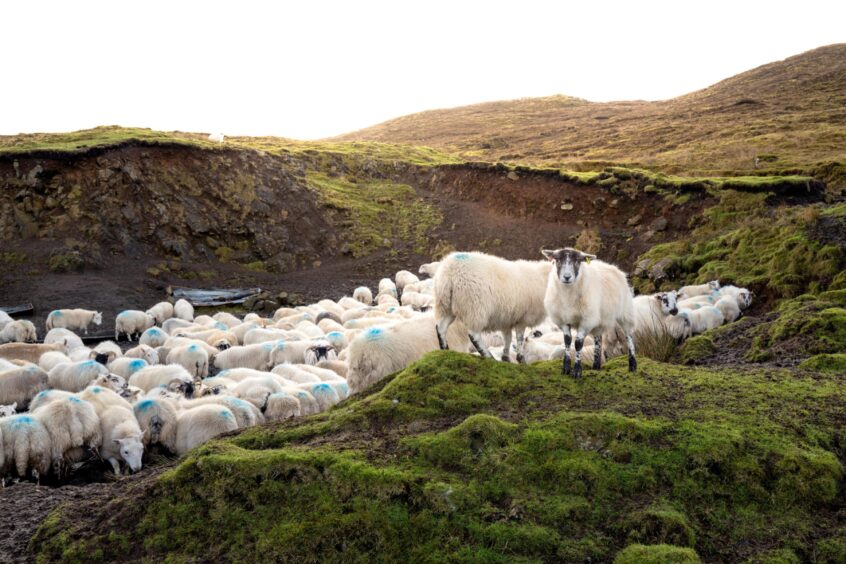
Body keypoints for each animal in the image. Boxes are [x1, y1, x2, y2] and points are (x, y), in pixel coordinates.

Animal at [544, 248, 636, 376]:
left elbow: (578, 344)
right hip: (599, 319)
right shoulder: (563, 320)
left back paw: (633, 365)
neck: (568, 296)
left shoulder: (586, 320)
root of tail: (615, 268)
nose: (567, 277)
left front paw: (577, 371)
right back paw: (596, 366)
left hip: (625, 312)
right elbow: (567, 341)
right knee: (598, 339)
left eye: (577, 261)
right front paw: (566, 368)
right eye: (557, 260)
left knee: (629, 335)